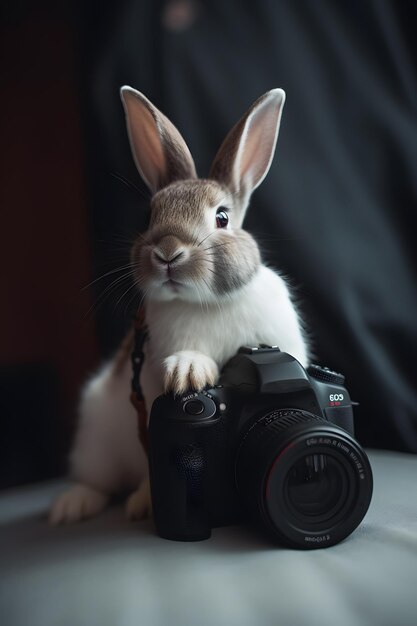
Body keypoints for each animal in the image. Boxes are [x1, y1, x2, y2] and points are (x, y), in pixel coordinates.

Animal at [49, 84, 308, 520]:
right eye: (149, 217)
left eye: (222, 218)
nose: (167, 252)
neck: (207, 302)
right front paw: (188, 372)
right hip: (95, 439)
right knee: (97, 482)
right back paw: (72, 506)